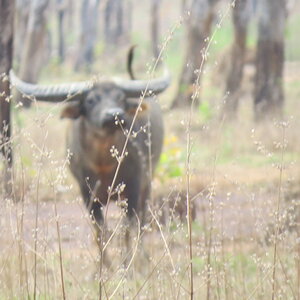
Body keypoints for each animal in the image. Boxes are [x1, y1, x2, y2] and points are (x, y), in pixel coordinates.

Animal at [9, 61, 170, 230]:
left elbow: (130, 226)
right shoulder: (87, 194)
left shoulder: (134, 187)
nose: (115, 114)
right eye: (91, 100)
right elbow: (101, 229)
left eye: (121, 98)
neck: (103, 162)